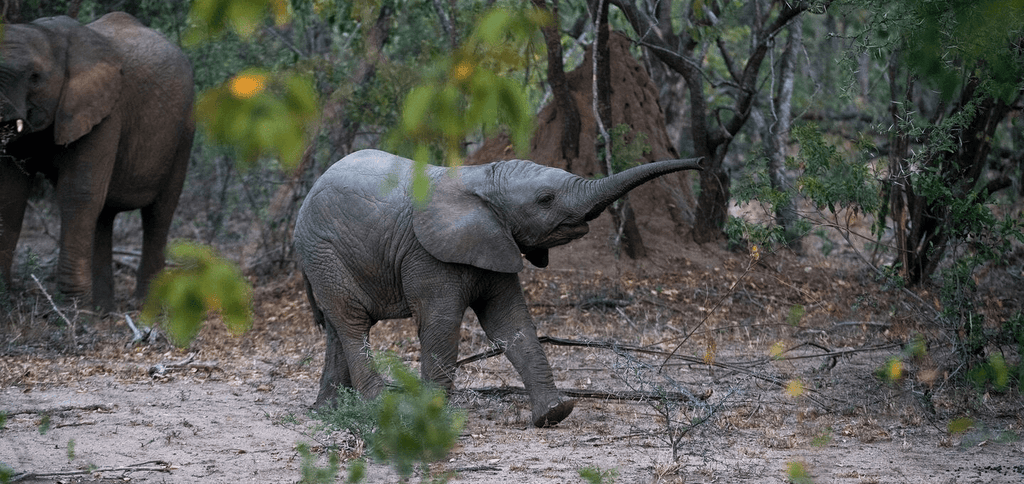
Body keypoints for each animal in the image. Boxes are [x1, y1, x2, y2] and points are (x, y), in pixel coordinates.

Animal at [0, 13, 193, 311]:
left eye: (34, 77)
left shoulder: (105, 112)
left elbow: (78, 193)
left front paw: (73, 310)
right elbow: (11, 194)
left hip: (185, 129)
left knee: (159, 213)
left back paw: (145, 306)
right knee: (104, 215)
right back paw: (103, 309)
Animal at [292, 148, 700, 425]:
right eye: (546, 199)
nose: (700, 162)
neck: (481, 179)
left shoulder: (496, 242)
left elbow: (510, 323)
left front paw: (554, 414)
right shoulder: (427, 255)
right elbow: (441, 326)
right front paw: (430, 418)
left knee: (337, 328)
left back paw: (328, 410)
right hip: (323, 252)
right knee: (352, 323)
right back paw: (380, 406)